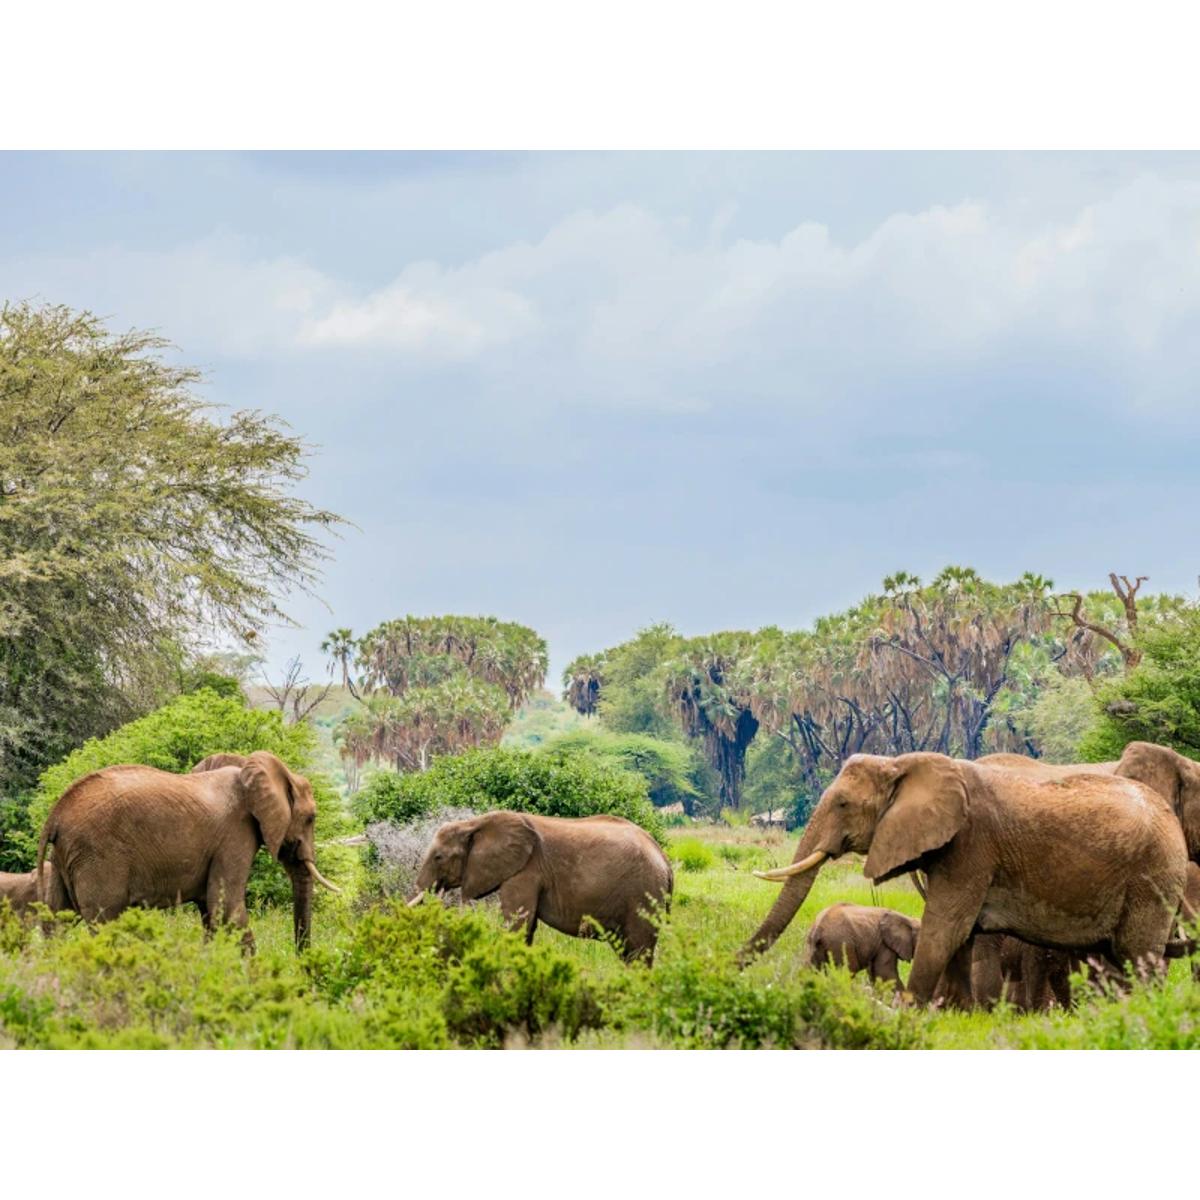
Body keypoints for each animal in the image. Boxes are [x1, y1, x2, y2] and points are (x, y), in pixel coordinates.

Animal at [37, 744, 338, 950]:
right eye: (311, 818)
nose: (301, 960)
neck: (248, 767)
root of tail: (55, 814)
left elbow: (210, 911)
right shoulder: (235, 834)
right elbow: (226, 906)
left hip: (65, 857)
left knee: (57, 921)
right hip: (98, 856)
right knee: (104, 922)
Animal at [408, 806, 676, 964]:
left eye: (438, 857)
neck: (475, 823)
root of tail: (665, 859)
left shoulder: (525, 871)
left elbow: (518, 923)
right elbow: (527, 927)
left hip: (643, 893)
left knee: (638, 950)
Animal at [739, 748, 1190, 1003]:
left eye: (844, 804)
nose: (733, 968)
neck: (902, 764)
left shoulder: (972, 847)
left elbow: (946, 928)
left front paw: (911, 1012)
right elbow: (962, 935)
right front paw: (954, 1014)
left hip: (1152, 877)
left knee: (1139, 956)